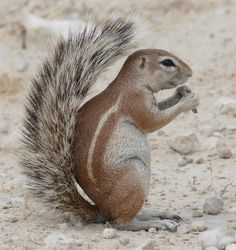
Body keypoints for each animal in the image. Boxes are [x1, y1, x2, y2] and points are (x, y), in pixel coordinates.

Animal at [20, 15, 200, 230]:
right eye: (167, 62)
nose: (190, 72)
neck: (133, 81)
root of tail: (101, 209)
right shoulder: (135, 100)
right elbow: (152, 122)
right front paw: (189, 100)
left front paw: (182, 92)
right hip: (134, 174)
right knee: (122, 222)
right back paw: (155, 222)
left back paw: (157, 213)